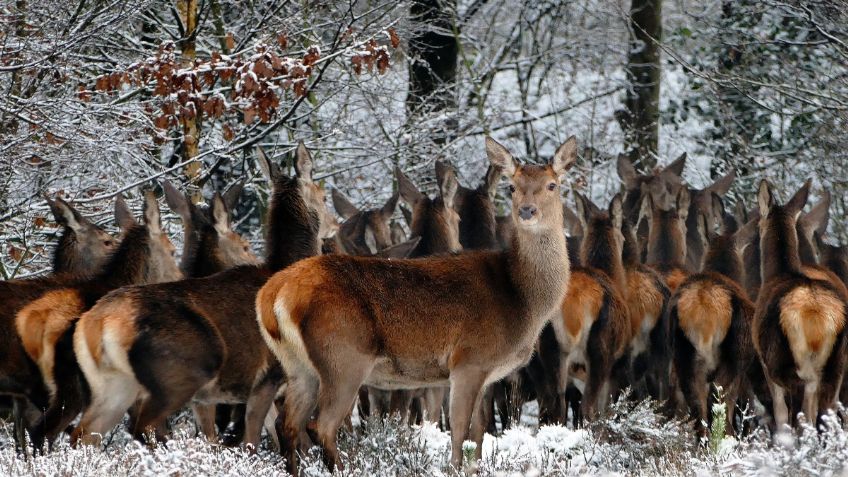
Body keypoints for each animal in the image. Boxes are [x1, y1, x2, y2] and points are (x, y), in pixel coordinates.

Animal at [68, 143, 328, 448]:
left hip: (111, 384)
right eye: (324, 195)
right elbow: (254, 442)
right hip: (181, 370)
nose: (335, 226)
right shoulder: (267, 378)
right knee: (143, 426)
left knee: (82, 434)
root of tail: (100, 321)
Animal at [256, 135, 576, 472]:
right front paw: (452, 468)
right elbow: (458, 431)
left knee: (286, 424)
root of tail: (273, 293)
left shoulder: (485, 373)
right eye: (511, 186)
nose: (527, 211)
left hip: (297, 365)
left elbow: (478, 434)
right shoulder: (469, 359)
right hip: (343, 356)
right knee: (321, 425)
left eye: (552, 184)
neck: (521, 300)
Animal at [548, 192, 628, 422]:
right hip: (601, 351)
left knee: (555, 410)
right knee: (589, 410)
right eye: (623, 237)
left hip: (551, 351)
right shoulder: (616, 367)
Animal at [752, 178, 844, 428]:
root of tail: (819, 320)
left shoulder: (766, 365)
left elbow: (780, 414)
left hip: (790, 366)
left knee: (799, 419)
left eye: (758, 223)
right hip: (835, 368)